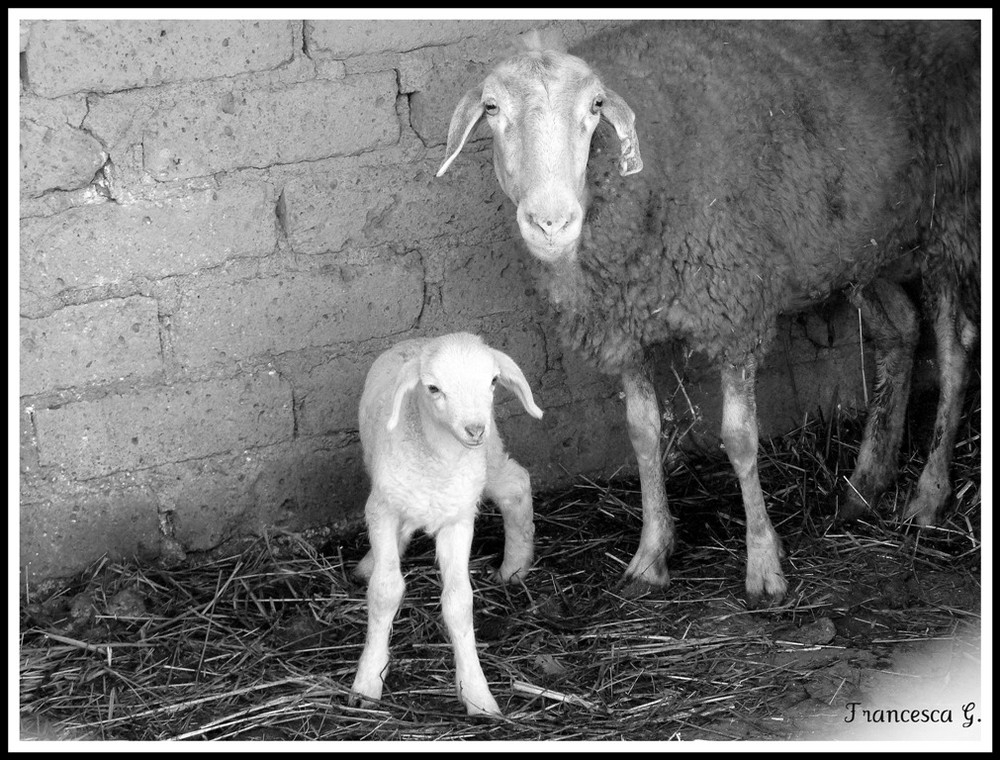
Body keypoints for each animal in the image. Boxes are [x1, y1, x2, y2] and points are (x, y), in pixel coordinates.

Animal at [348, 330, 544, 716]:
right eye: (433, 388)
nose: (474, 429)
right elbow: (384, 591)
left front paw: (477, 694)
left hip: (487, 458)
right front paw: (367, 682)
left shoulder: (458, 519)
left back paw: (513, 567)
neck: (438, 462)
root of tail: (419, 339)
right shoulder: (383, 509)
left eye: (493, 381)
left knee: (515, 485)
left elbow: (459, 602)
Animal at [436, 20, 976, 604]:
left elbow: (740, 440)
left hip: (951, 216)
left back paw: (928, 496)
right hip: (862, 241)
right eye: (491, 107)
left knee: (954, 351)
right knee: (900, 331)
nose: (551, 223)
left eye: (596, 106)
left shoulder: (733, 311)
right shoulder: (623, 330)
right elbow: (643, 435)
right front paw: (651, 554)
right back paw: (864, 485)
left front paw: (764, 565)